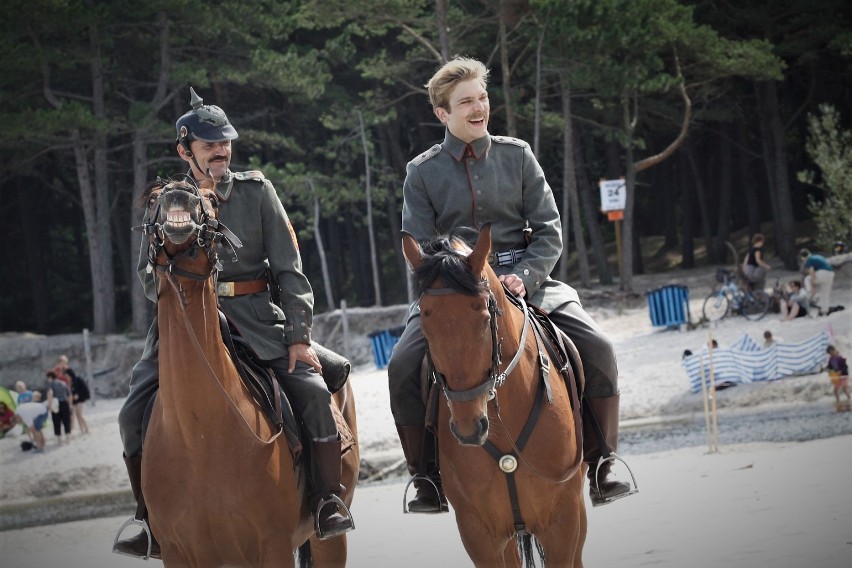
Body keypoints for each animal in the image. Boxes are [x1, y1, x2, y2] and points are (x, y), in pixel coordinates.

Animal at [141, 180, 360, 564]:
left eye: (210, 201)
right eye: (154, 197)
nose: (179, 192)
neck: (198, 434)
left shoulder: (273, 546)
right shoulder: (178, 553)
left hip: (329, 540)